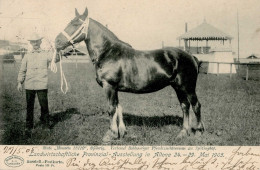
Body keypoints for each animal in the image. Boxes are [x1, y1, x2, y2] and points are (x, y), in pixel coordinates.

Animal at [55, 7, 205, 142]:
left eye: (76, 24)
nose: (57, 41)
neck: (107, 52)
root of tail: (191, 56)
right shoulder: (115, 88)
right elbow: (118, 108)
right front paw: (121, 132)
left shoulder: (109, 86)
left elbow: (111, 108)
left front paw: (111, 134)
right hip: (178, 87)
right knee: (185, 106)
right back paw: (183, 133)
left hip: (188, 87)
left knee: (195, 105)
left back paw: (198, 132)